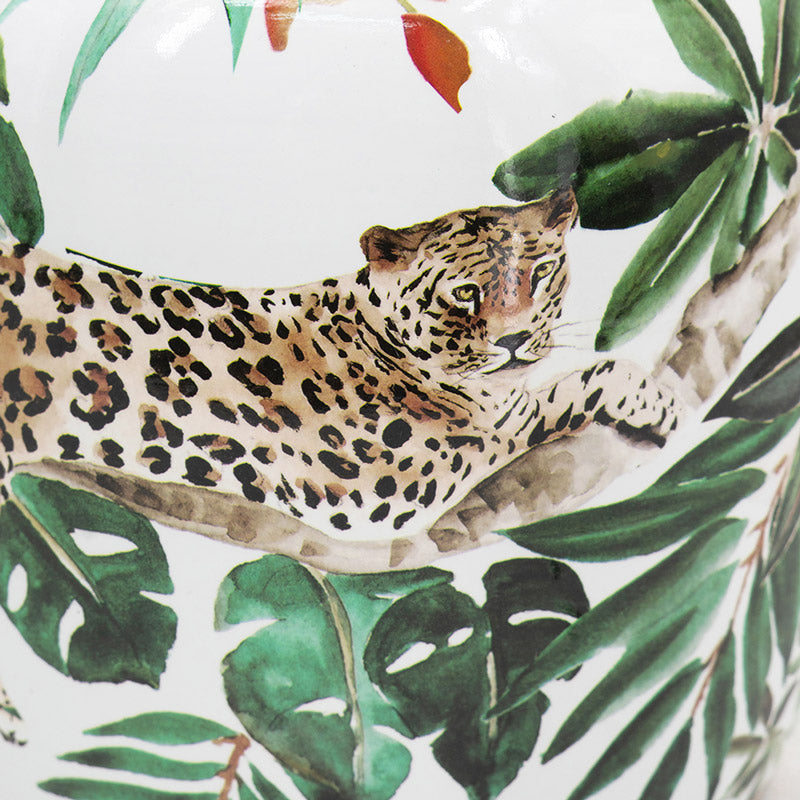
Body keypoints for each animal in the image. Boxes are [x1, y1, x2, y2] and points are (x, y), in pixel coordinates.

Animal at [0, 189, 680, 572]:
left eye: (538, 275)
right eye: (464, 292)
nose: (513, 340)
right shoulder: (387, 486)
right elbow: (538, 402)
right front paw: (649, 393)